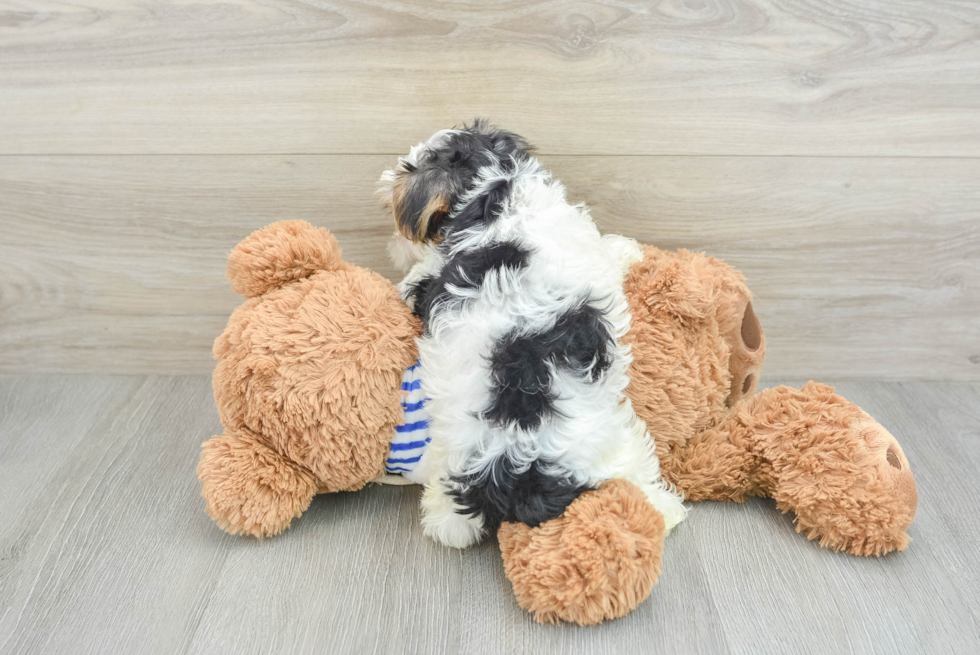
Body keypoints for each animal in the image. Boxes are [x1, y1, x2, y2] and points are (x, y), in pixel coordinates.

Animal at [378, 119, 684, 548]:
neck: (495, 192)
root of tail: (507, 465)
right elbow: (610, 252)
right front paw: (628, 249)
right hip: (616, 438)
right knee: (634, 474)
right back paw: (666, 508)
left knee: (451, 520)